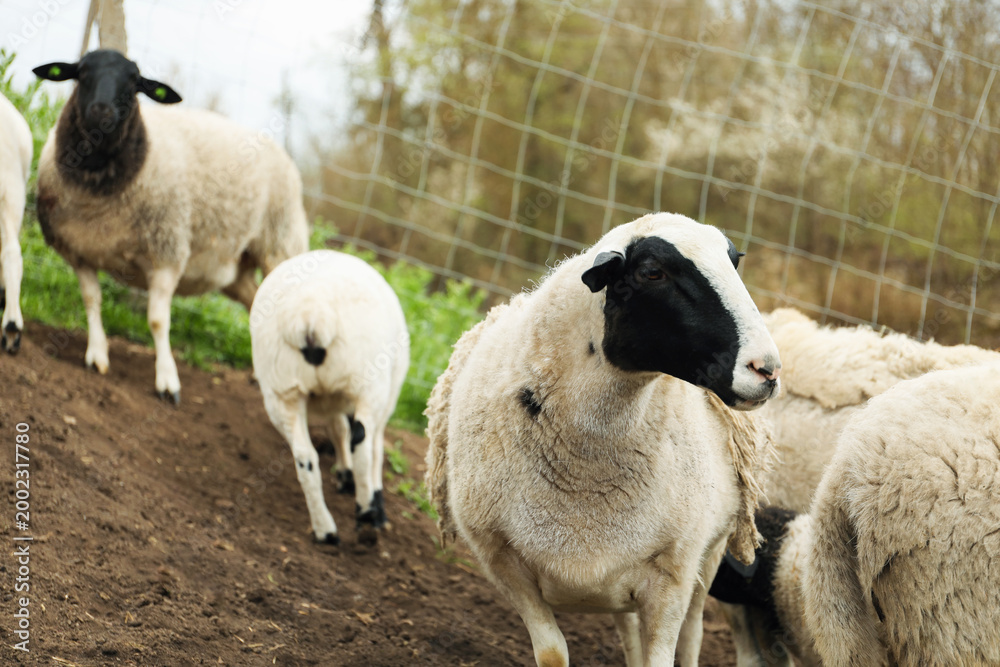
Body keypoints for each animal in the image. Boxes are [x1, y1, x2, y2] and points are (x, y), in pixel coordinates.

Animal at [33, 49, 308, 402]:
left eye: (134, 82)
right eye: (81, 73)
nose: (102, 112)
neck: (99, 190)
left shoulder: (167, 252)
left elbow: (157, 321)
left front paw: (167, 381)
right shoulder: (79, 253)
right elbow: (92, 301)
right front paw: (97, 355)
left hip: (280, 244)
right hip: (236, 269)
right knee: (258, 303)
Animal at [249, 249, 409, 546]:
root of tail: (310, 313)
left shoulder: (331, 400)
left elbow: (337, 429)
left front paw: (344, 476)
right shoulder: (386, 396)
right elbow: (375, 448)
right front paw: (376, 507)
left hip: (281, 391)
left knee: (305, 456)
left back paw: (325, 530)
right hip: (367, 382)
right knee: (363, 443)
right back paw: (366, 517)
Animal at [425, 212, 782, 667]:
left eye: (734, 262)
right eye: (652, 272)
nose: (766, 369)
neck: (586, 469)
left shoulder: (673, 574)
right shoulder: (503, 563)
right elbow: (553, 653)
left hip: (710, 554)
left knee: (693, 634)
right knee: (628, 630)